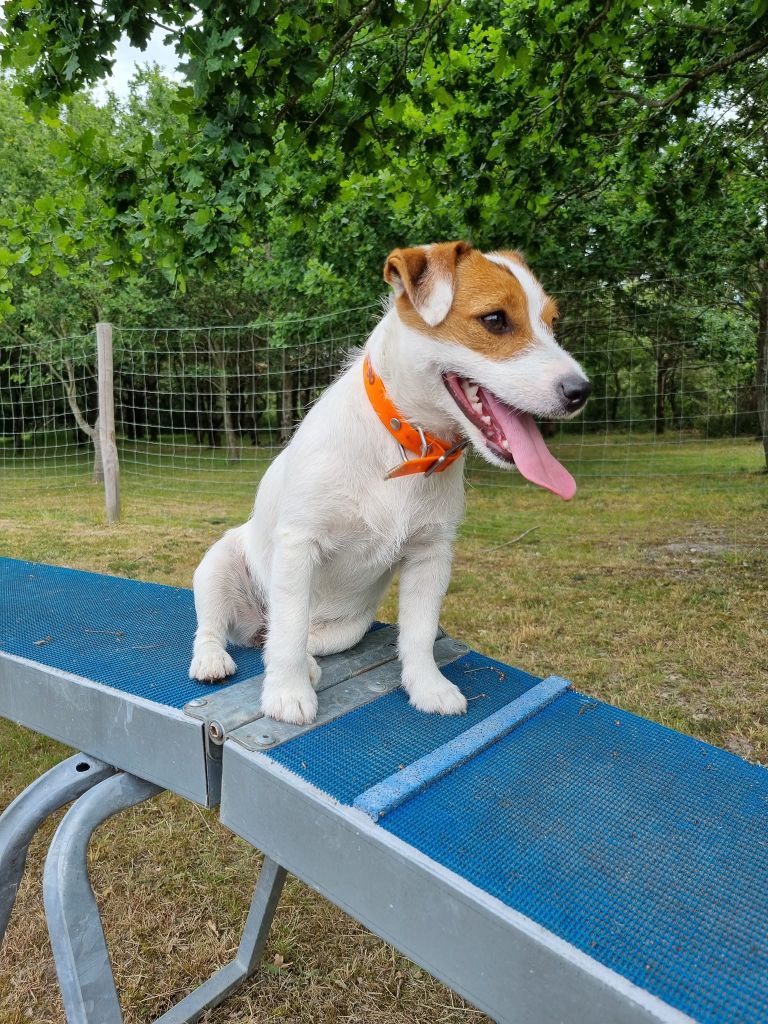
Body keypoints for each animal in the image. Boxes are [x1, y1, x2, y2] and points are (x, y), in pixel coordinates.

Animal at [189, 240, 593, 724]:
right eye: (495, 319)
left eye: (552, 323)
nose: (581, 391)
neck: (408, 447)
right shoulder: (299, 544)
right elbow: (289, 627)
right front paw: (287, 693)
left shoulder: (431, 554)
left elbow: (418, 634)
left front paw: (427, 687)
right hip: (217, 566)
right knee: (225, 628)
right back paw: (216, 660)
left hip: (344, 628)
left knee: (292, 637)